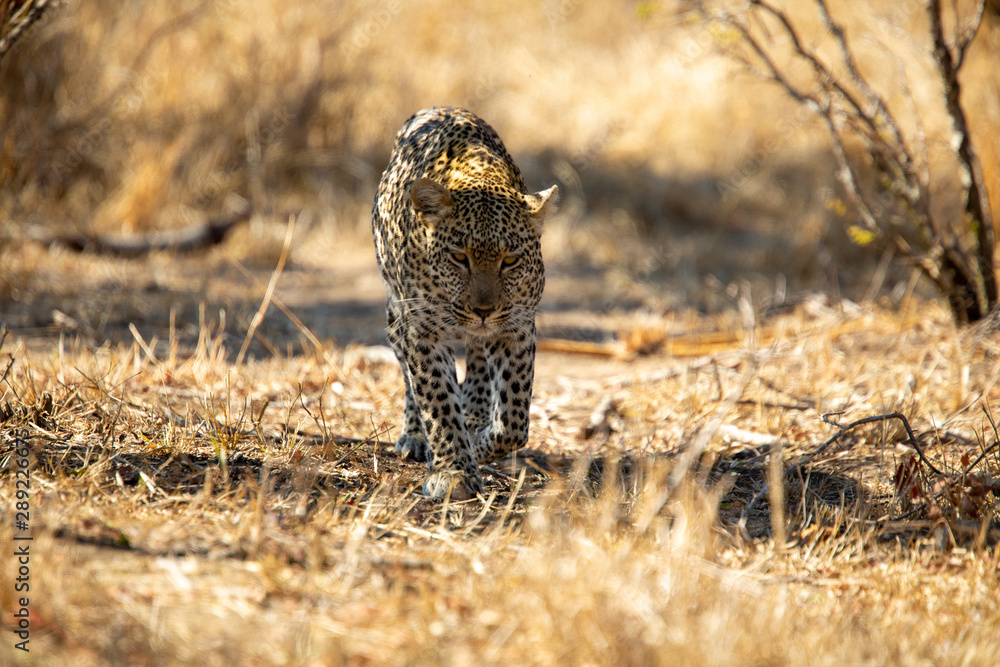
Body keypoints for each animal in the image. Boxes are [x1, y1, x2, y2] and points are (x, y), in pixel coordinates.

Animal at [371, 107, 558, 500]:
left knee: (478, 363)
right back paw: (415, 436)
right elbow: (437, 400)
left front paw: (476, 443)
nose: (483, 310)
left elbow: (513, 421)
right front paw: (454, 471)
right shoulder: (421, 331)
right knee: (409, 377)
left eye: (510, 261)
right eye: (459, 257)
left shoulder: (516, 327)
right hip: (395, 317)